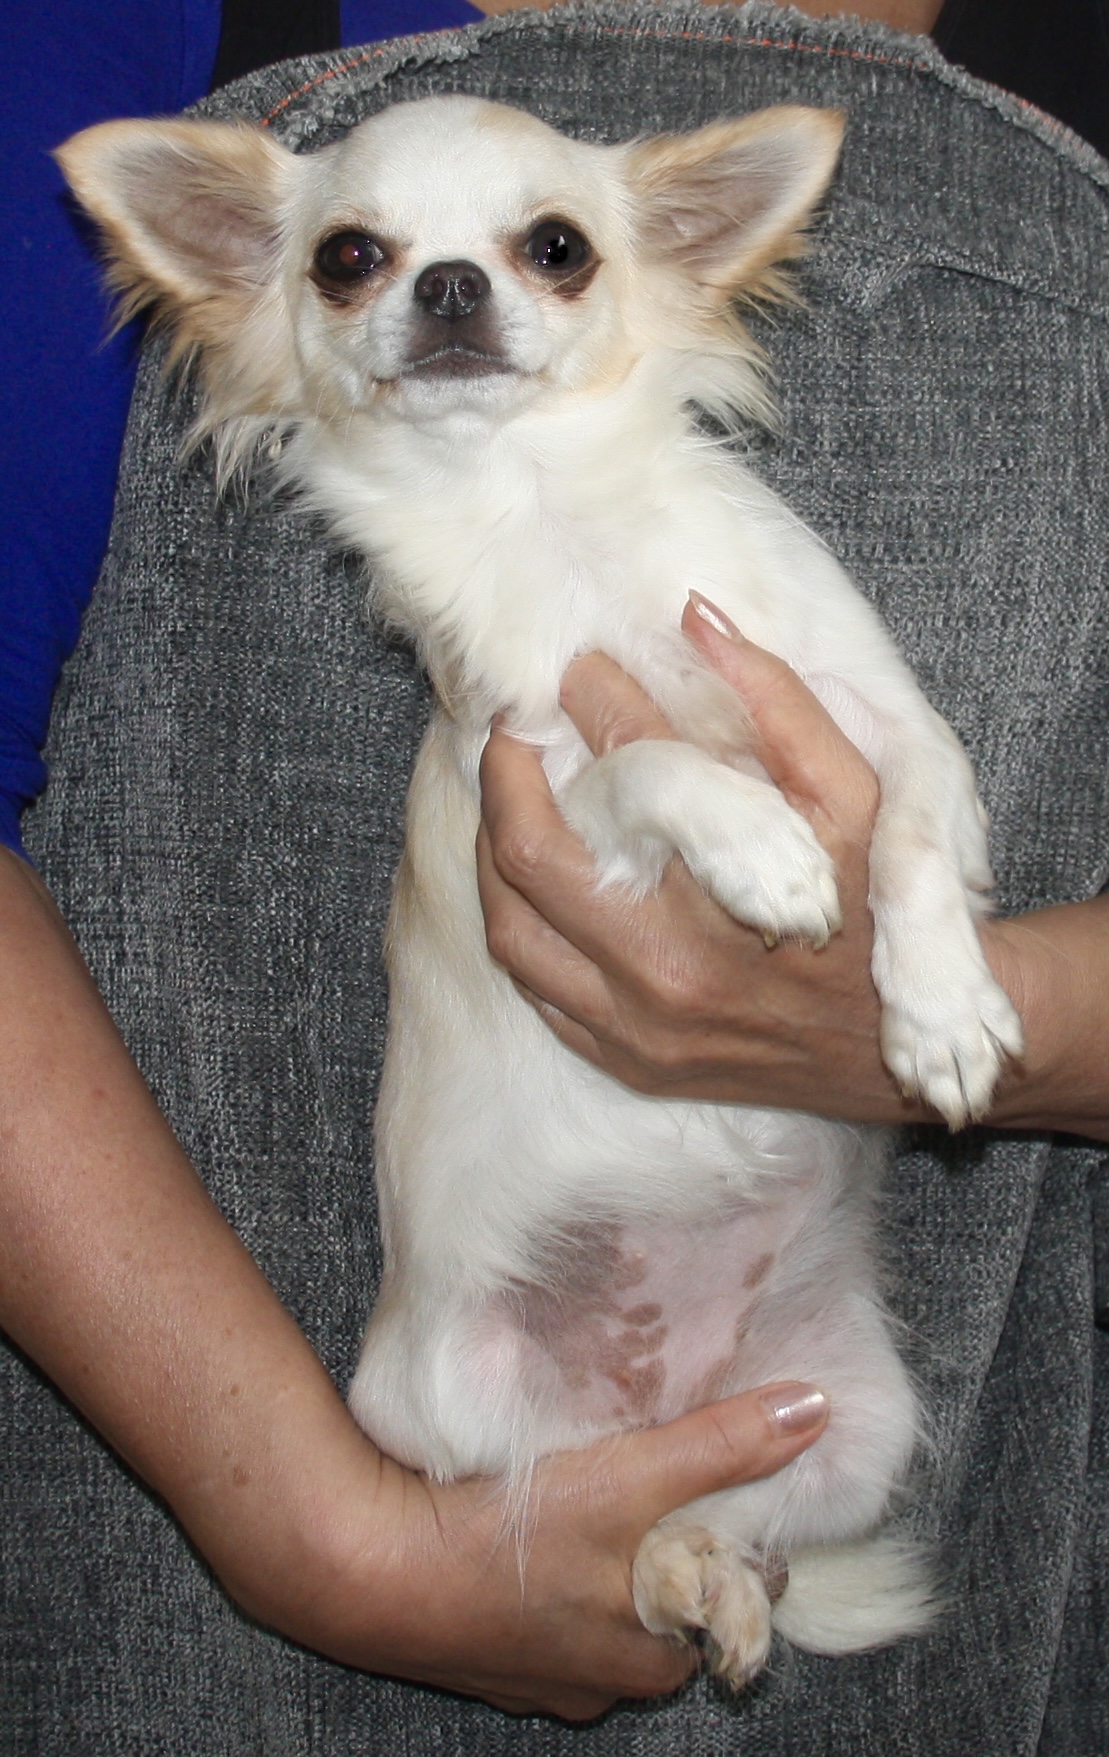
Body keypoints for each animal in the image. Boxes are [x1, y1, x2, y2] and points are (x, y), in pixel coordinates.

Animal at [59, 92, 1023, 1687]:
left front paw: (940, 1011)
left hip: (851, 1422)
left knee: (724, 1513)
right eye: (347, 257)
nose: (447, 283)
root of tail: (654, 1409)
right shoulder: (533, 796)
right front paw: (761, 847)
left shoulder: (889, 730)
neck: (551, 515)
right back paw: (680, 1583)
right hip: (450, 1400)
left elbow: (906, 846)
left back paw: (722, 1583)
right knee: (595, 1528)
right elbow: (652, 767)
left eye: (556, 246)